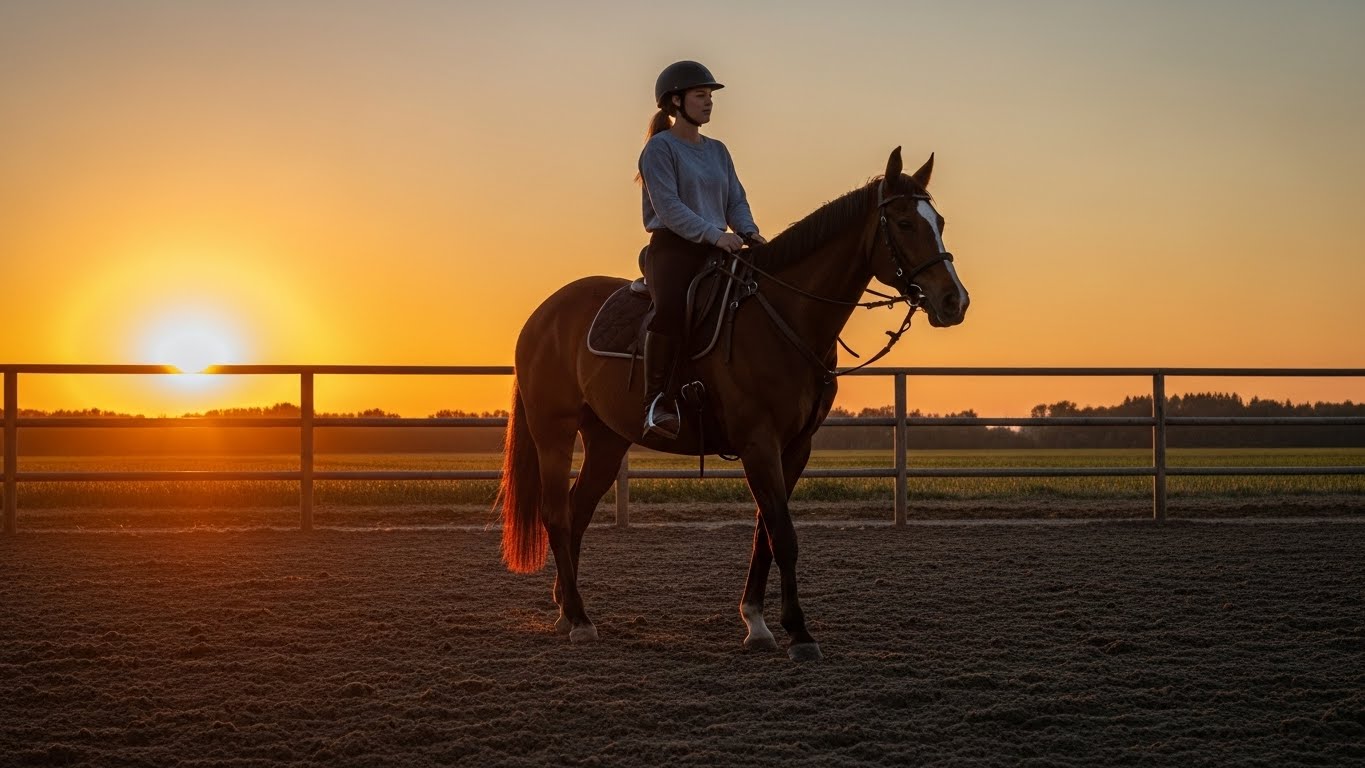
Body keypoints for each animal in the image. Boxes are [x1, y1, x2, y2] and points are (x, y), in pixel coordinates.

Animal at [496, 147, 969, 661]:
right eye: (904, 223)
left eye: (940, 221)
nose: (954, 301)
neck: (783, 318)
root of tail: (542, 316)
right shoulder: (758, 443)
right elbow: (782, 534)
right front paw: (799, 633)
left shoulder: (794, 447)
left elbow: (765, 532)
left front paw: (757, 622)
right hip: (554, 433)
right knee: (557, 515)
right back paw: (580, 621)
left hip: (606, 440)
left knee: (577, 512)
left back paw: (568, 610)